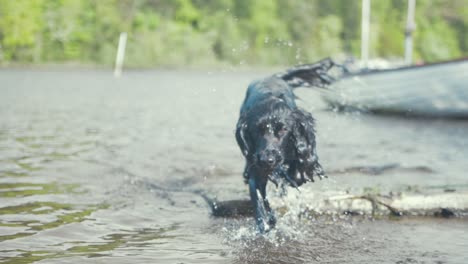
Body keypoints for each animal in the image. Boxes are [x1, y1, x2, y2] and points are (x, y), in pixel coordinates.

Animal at [236, 58, 334, 233]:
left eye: (283, 129)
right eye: (256, 130)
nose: (267, 160)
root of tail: (272, 76)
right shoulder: (256, 168)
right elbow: (260, 198)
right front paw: (266, 224)